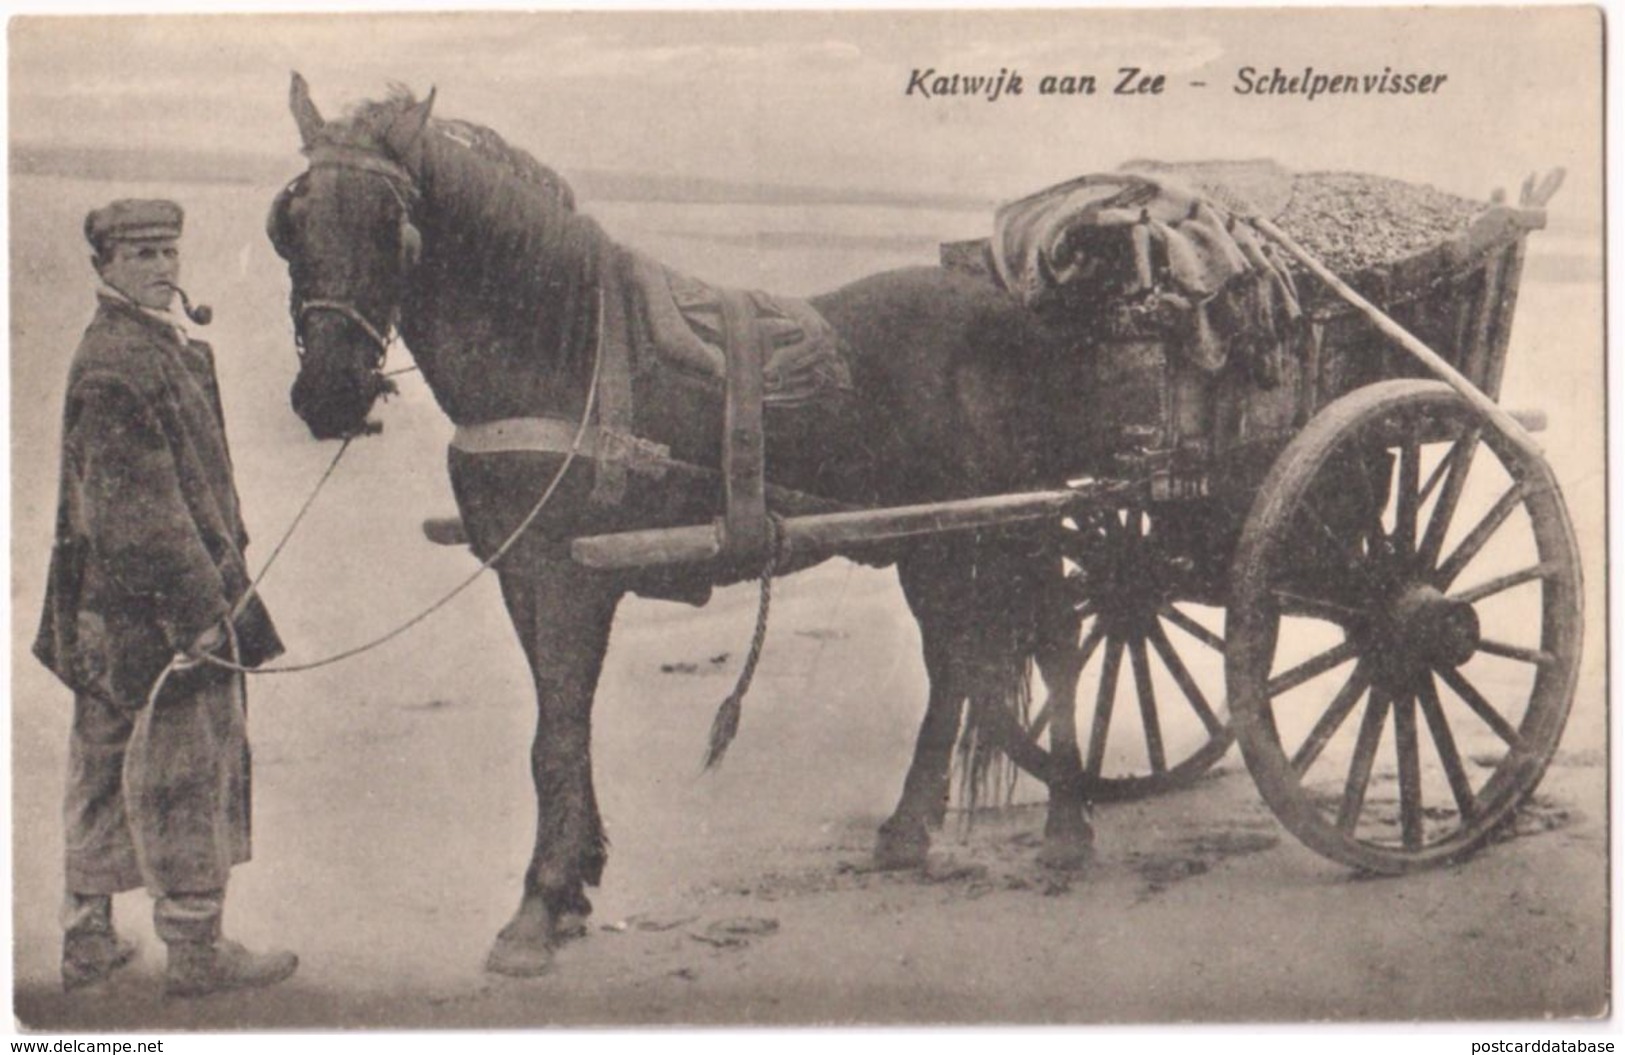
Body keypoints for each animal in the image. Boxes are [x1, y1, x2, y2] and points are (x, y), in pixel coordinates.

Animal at [269, 75, 1092, 981]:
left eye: (394, 224)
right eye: (291, 221)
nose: (329, 392)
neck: (561, 354)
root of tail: (1010, 309)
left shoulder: (569, 579)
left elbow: (555, 735)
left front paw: (537, 906)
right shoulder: (524, 577)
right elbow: (560, 728)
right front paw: (573, 884)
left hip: (1023, 522)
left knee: (1058, 641)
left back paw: (1068, 821)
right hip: (932, 538)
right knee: (951, 662)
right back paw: (908, 830)